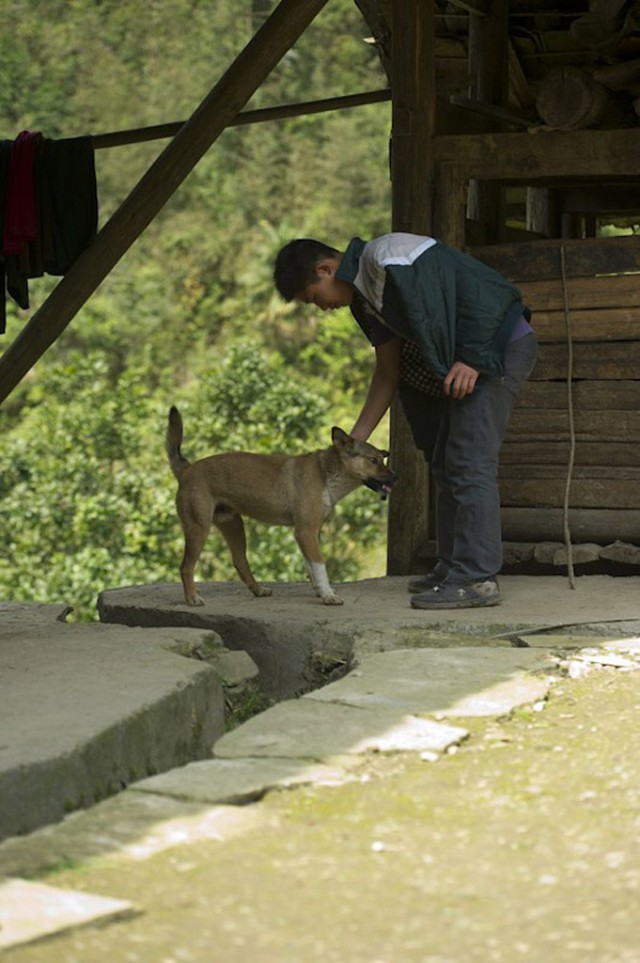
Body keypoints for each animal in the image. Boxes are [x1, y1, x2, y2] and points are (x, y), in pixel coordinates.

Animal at [166, 404, 396, 604]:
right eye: (373, 460)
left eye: (382, 459)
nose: (396, 477)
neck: (326, 473)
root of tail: (186, 470)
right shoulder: (306, 531)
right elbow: (319, 565)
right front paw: (328, 595)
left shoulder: (309, 533)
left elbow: (311, 566)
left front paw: (320, 591)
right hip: (198, 528)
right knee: (186, 567)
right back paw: (192, 598)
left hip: (233, 525)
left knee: (240, 562)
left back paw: (258, 590)